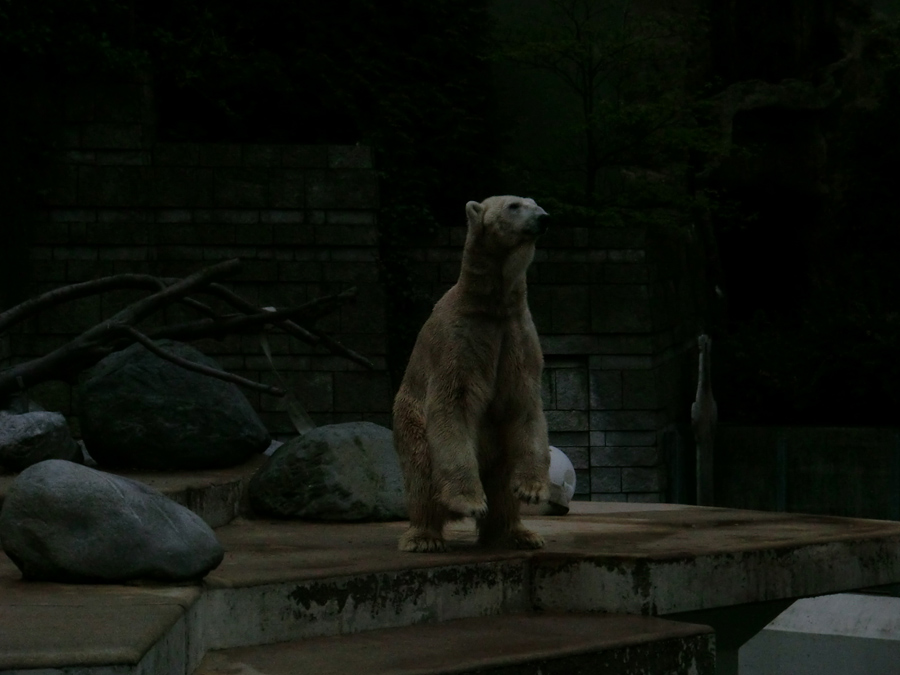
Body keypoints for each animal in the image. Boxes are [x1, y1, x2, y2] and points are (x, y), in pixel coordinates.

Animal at [396, 197, 556, 556]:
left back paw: (518, 533)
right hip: (410, 420)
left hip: (498, 449)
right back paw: (424, 536)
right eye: (514, 205)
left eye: (535, 203)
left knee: (502, 484)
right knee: (422, 473)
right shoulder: (460, 341)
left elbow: (525, 406)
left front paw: (532, 490)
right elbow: (452, 406)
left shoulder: (517, 336)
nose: (544, 218)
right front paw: (469, 501)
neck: (490, 306)